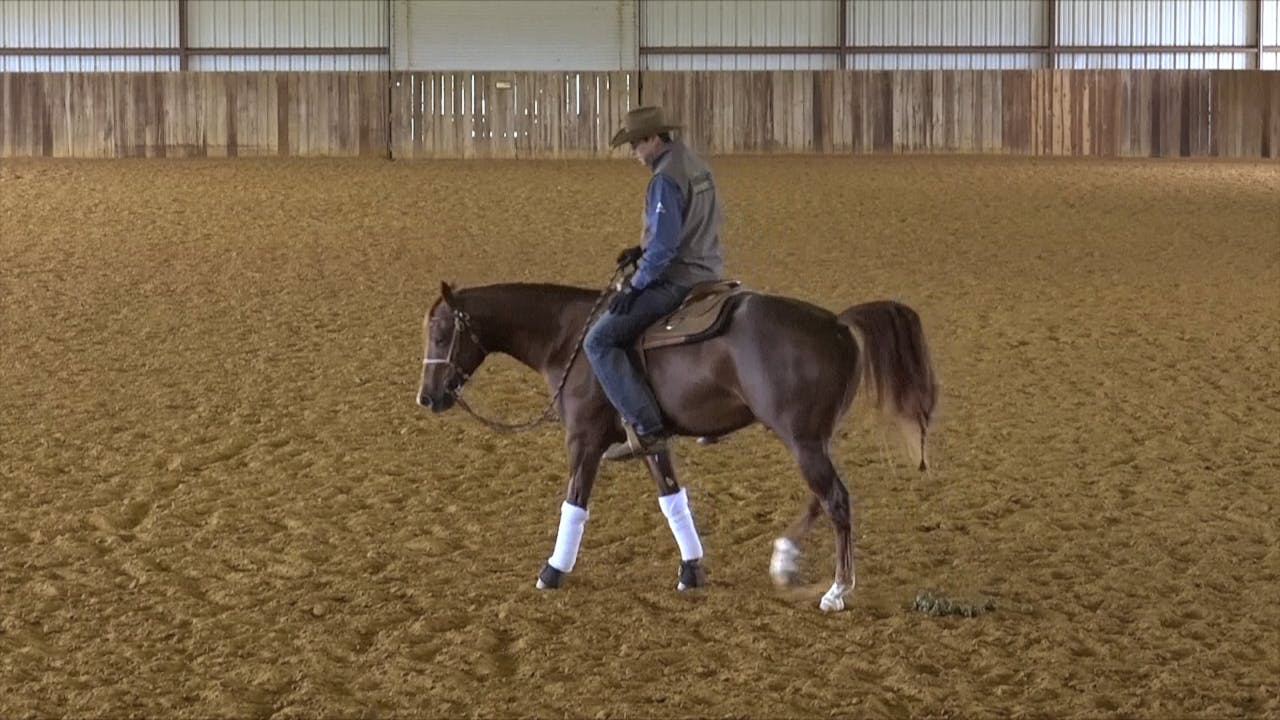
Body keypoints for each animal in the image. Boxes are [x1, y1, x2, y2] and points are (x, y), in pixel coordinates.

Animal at [417, 280, 937, 611]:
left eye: (441, 333)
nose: (427, 397)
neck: (570, 340)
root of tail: (837, 324)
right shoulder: (650, 440)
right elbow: (671, 498)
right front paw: (691, 570)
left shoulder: (583, 439)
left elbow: (575, 503)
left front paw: (551, 572)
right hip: (810, 438)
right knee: (822, 497)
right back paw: (785, 560)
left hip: (803, 439)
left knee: (836, 500)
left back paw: (836, 590)